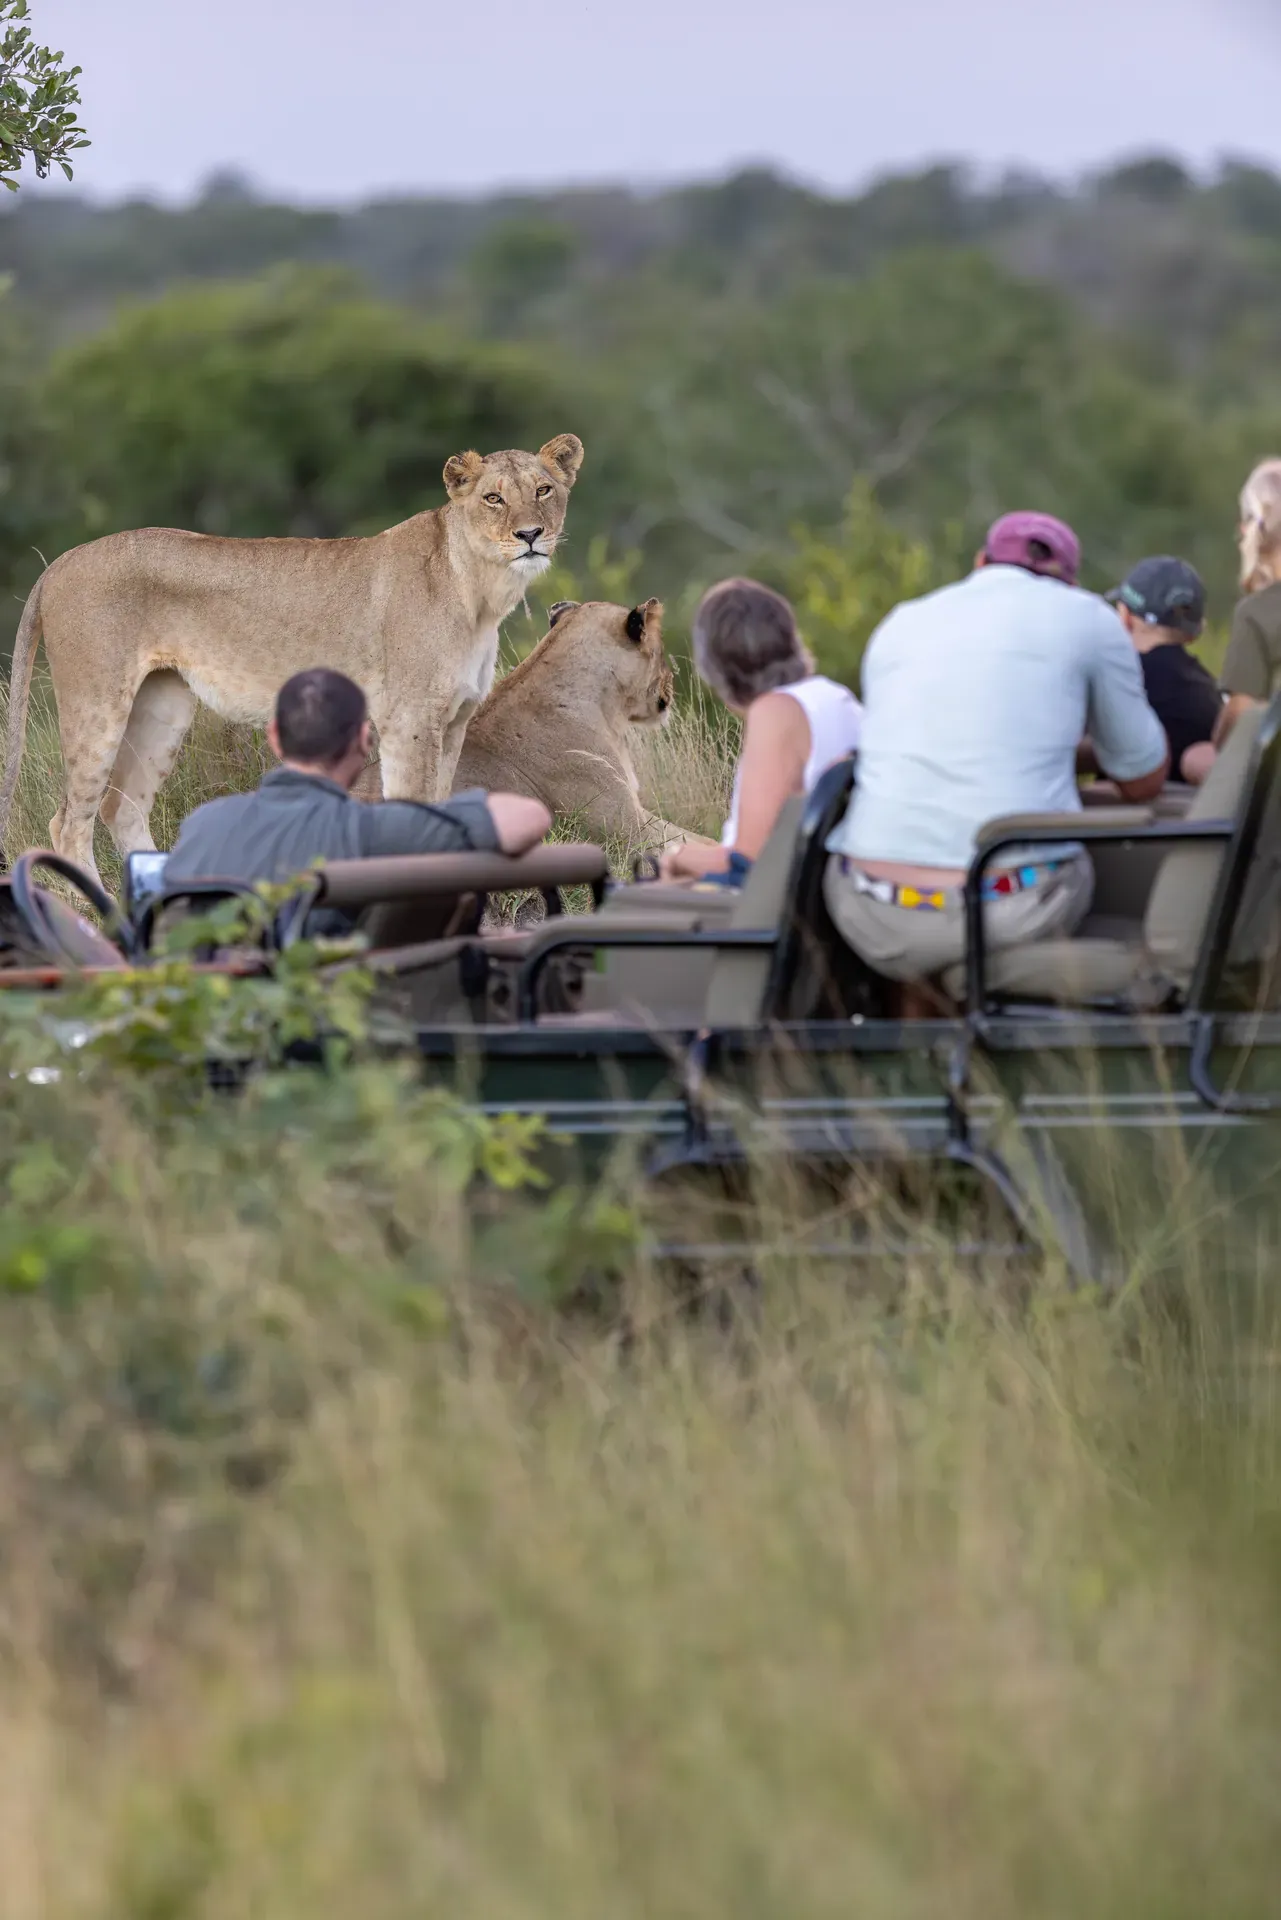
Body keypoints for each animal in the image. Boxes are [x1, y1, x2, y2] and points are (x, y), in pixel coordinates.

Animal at [0, 434, 584, 885]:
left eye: (544, 490)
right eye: (493, 498)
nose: (530, 535)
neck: (481, 593)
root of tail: (61, 562)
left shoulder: (455, 721)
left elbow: (439, 808)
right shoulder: (410, 720)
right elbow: (412, 811)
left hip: (160, 704)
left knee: (121, 808)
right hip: (97, 702)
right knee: (67, 824)